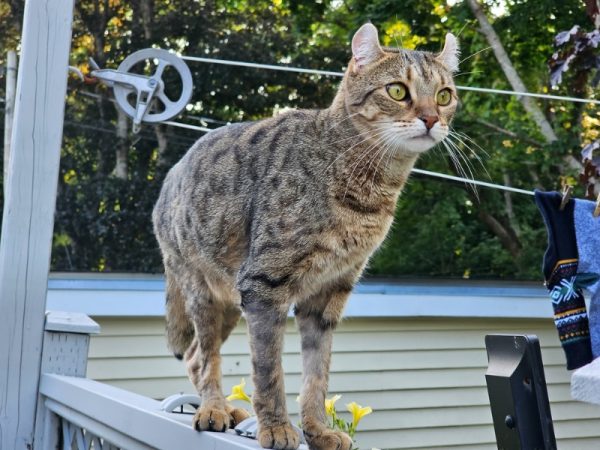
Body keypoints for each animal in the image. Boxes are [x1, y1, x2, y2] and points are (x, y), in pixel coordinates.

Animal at [154, 23, 460, 450]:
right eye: (398, 90)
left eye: (445, 95)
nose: (432, 118)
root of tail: (169, 175)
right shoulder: (264, 285)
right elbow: (269, 371)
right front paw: (277, 428)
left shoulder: (328, 295)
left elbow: (317, 373)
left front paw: (317, 430)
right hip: (201, 289)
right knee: (206, 355)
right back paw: (213, 409)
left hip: (228, 302)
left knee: (197, 355)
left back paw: (225, 408)